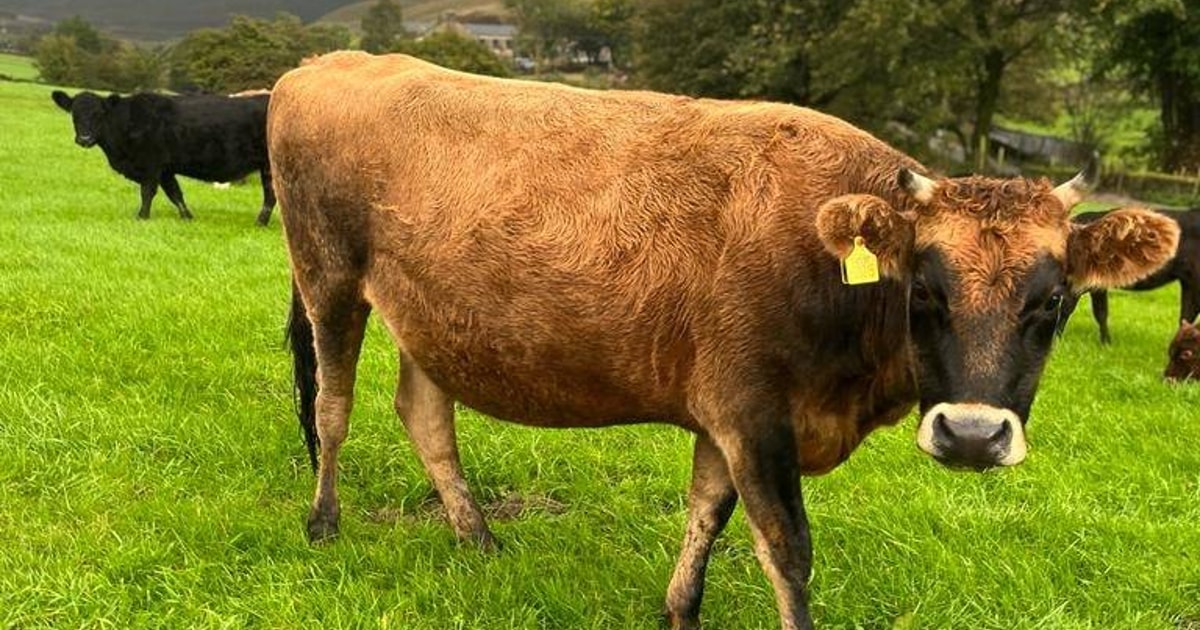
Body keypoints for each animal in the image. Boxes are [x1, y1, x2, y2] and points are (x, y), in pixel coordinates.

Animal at [51, 90, 276, 225]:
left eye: (99, 114)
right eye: (74, 114)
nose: (84, 139)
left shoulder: (151, 165)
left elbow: (147, 192)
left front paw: (142, 217)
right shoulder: (166, 169)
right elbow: (175, 194)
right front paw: (187, 217)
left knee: (271, 197)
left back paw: (260, 223)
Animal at [269, 52, 1180, 630]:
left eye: (1053, 302)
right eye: (924, 288)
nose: (972, 435)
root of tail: (328, 61)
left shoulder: (723, 411)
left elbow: (706, 512)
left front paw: (679, 610)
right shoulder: (753, 411)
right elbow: (787, 548)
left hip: (430, 314)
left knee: (424, 413)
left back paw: (479, 538)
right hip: (328, 275)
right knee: (334, 404)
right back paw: (322, 524)